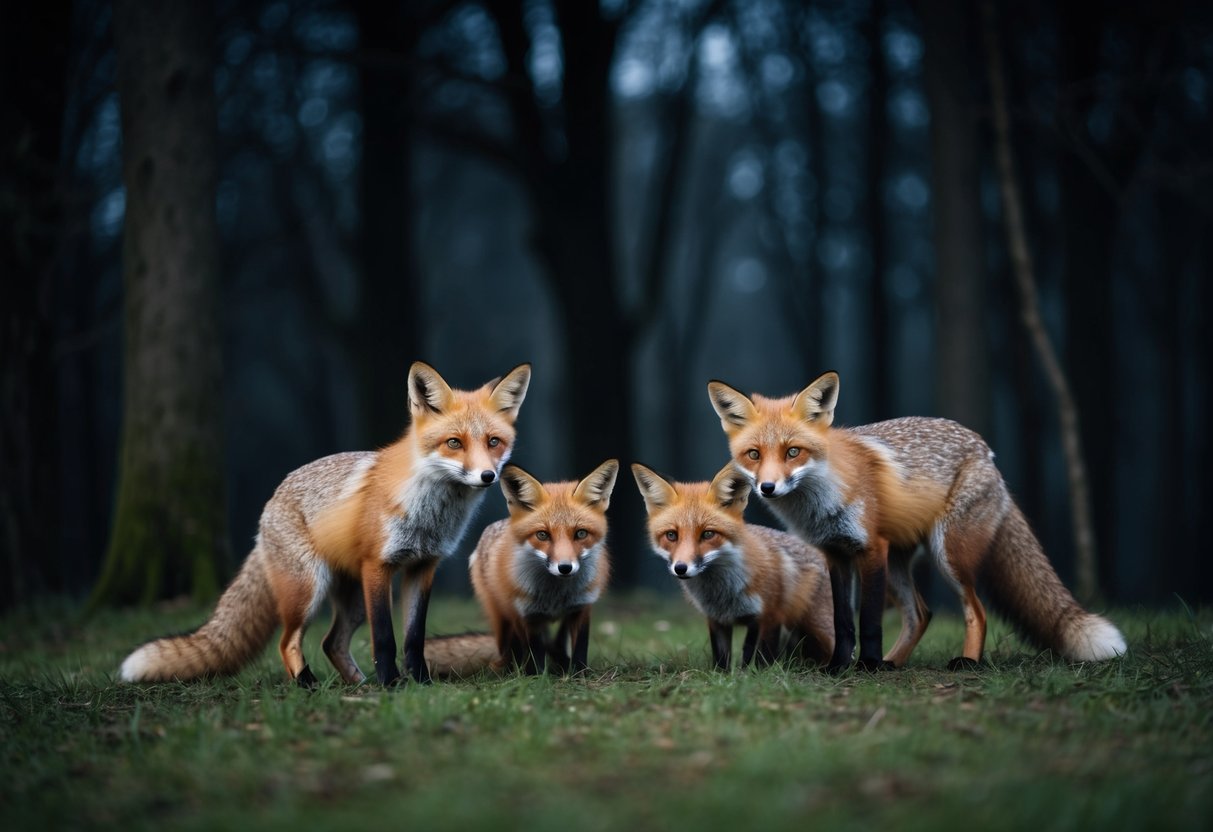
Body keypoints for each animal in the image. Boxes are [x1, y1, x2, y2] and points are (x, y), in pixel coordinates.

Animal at [119, 361, 532, 687]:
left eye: (493, 442)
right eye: (454, 443)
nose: (487, 476)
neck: (430, 512)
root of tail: (271, 503)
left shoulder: (422, 567)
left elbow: (414, 638)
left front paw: (420, 684)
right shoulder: (378, 566)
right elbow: (385, 638)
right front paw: (392, 686)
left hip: (352, 600)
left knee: (330, 643)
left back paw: (358, 685)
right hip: (310, 589)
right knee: (288, 641)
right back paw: (308, 684)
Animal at [469, 460, 618, 674]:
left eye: (581, 533)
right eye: (542, 535)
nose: (565, 567)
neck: (555, 596)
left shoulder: (581, 608)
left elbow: (579, 648)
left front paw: (579, 673)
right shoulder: (527, 615)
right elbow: (535, 652)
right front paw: (537, 676)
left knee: (555, 643)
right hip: (502, 616)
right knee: (512, 647)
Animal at [631, 462, 834, 671]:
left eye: (708, 534)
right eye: (671, 535)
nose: (681, 568)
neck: (723, 595)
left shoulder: (770, 615)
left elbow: (761, 657)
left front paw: (757, 674)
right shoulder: (717, 619)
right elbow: (722, 659)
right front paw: (725, 676)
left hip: (817, 630)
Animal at [707, 371, 1125, 672]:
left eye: (793, 452)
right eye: (754, 455)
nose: (768, 488)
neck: (822, 500)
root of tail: (987, 453)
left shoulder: (870, 548)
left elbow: (869, 621)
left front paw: (867, 666)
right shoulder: (836, 554)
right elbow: (844, 622)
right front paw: (840, 667)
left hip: (946, 555)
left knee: (976, 611)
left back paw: (965, 662)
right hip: (898, 566)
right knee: (921, 615)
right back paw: (894, 663)